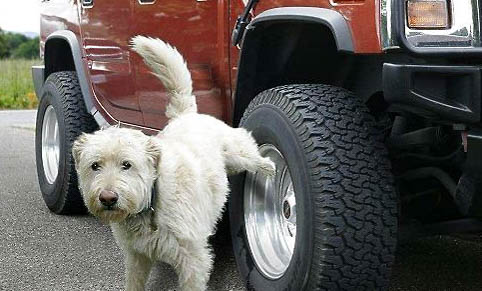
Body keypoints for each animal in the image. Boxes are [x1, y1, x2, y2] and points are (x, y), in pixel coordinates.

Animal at [71, 36, 274, 291]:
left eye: (127, 164)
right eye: (95, 166)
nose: (108, 198)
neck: (152, 198)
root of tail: (187, 114)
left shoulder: (193, 260)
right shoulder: (137, 257)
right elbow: (134, 283)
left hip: (238, 154)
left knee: (251, 149)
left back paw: (269, 166)